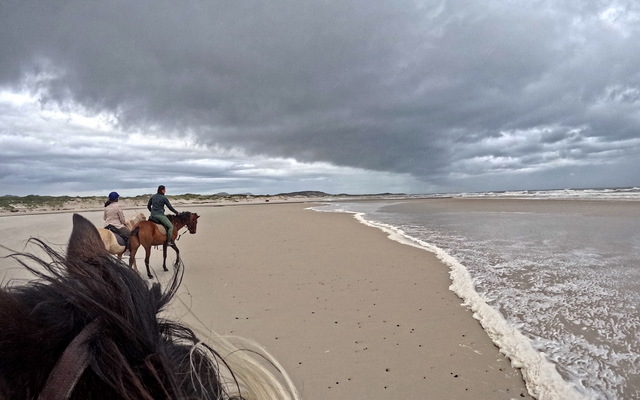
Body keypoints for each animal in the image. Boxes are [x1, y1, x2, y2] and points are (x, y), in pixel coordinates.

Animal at [0, 213, 299, 400]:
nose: (193, 230)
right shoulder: (162, 243)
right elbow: (170, 252)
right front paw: (169, 266)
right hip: (140, 247)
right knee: (139, 261)